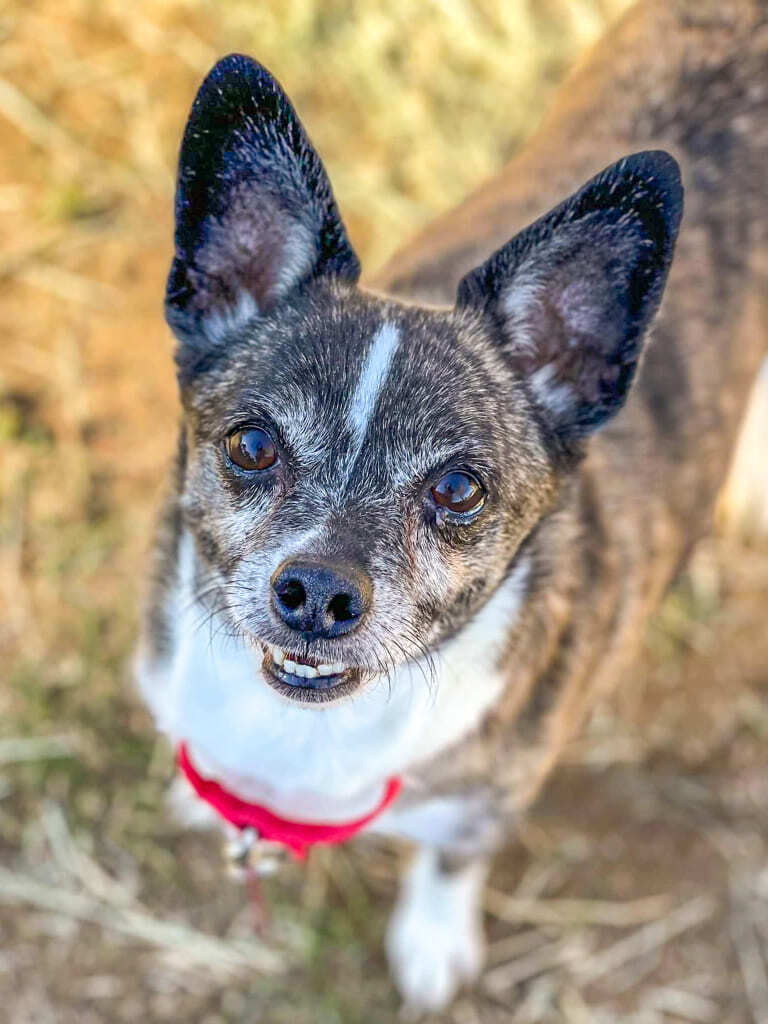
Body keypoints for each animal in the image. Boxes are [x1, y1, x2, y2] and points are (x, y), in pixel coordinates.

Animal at [138, 0, 768, 1007]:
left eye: (459, 489)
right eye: (251, 444)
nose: (317, 593)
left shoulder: (489, 798)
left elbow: (451, 860)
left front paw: (432, 941)